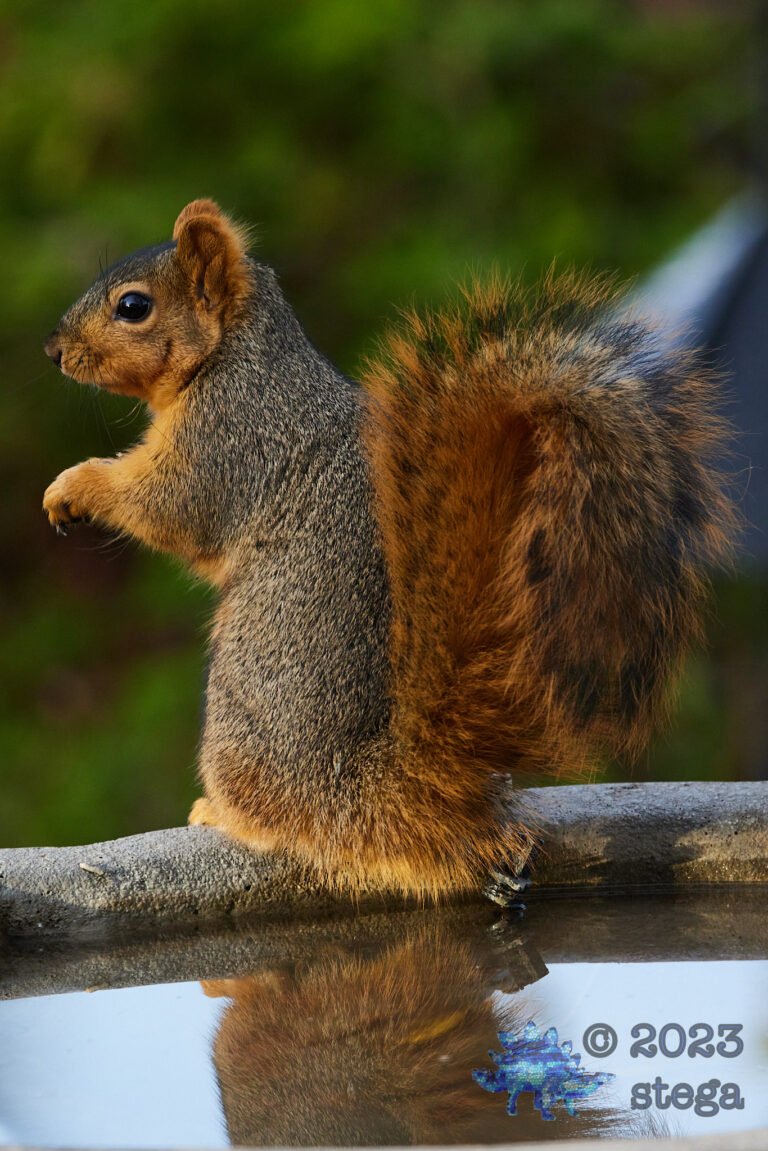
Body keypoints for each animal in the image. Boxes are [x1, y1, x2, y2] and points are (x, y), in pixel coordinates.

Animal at [42, 199, 734, 899]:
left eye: (133, 306)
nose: (54, 352)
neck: (236, 355)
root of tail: (388, 788)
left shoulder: (231, 437)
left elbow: (171, 509)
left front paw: (75, 486)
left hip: (247, 718)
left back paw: (220, 813)